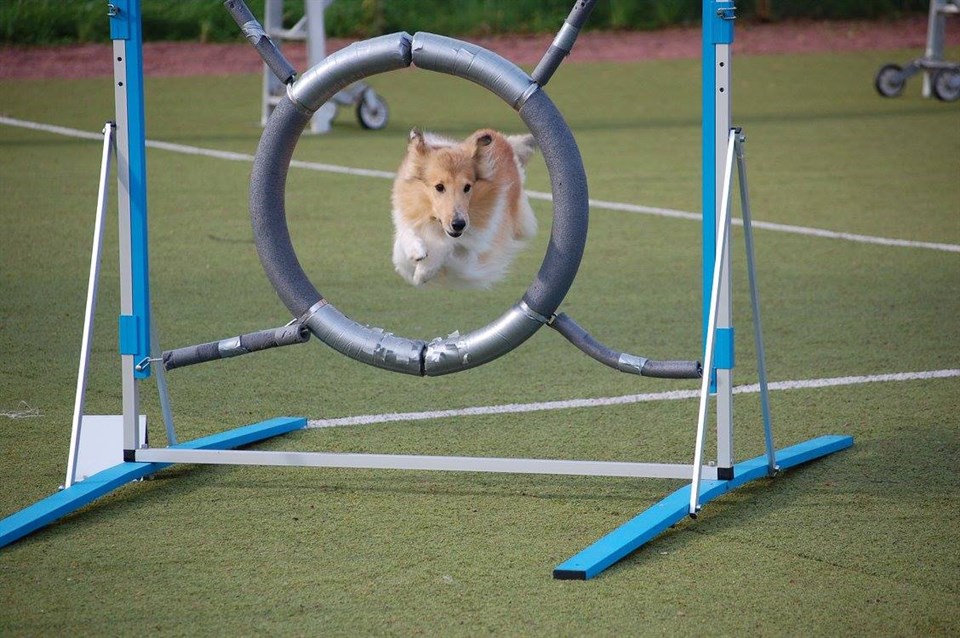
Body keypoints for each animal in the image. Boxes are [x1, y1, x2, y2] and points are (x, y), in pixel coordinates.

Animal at [391, 128, 538, 288]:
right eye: (439, 187)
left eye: (467, 187)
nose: (458, 225)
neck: (436, 225)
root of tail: (502, 138)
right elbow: (405, 234)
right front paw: (416, 252)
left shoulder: (473, 251)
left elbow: (447, 246)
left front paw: (423, 272)